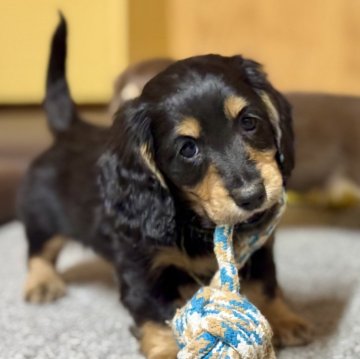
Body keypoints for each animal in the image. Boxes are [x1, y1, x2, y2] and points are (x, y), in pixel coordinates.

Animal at [19, 16, 310, 358]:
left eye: (249, 122)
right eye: (188, 149)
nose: (253, 196)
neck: (195, 221)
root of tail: (70, 130)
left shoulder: (258, 247)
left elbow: (266, 283)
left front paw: (285, 318)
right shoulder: (140, 267)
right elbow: (155, 311)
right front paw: (166, 349)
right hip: (42, 218)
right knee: (39, 251)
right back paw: (42, 282)